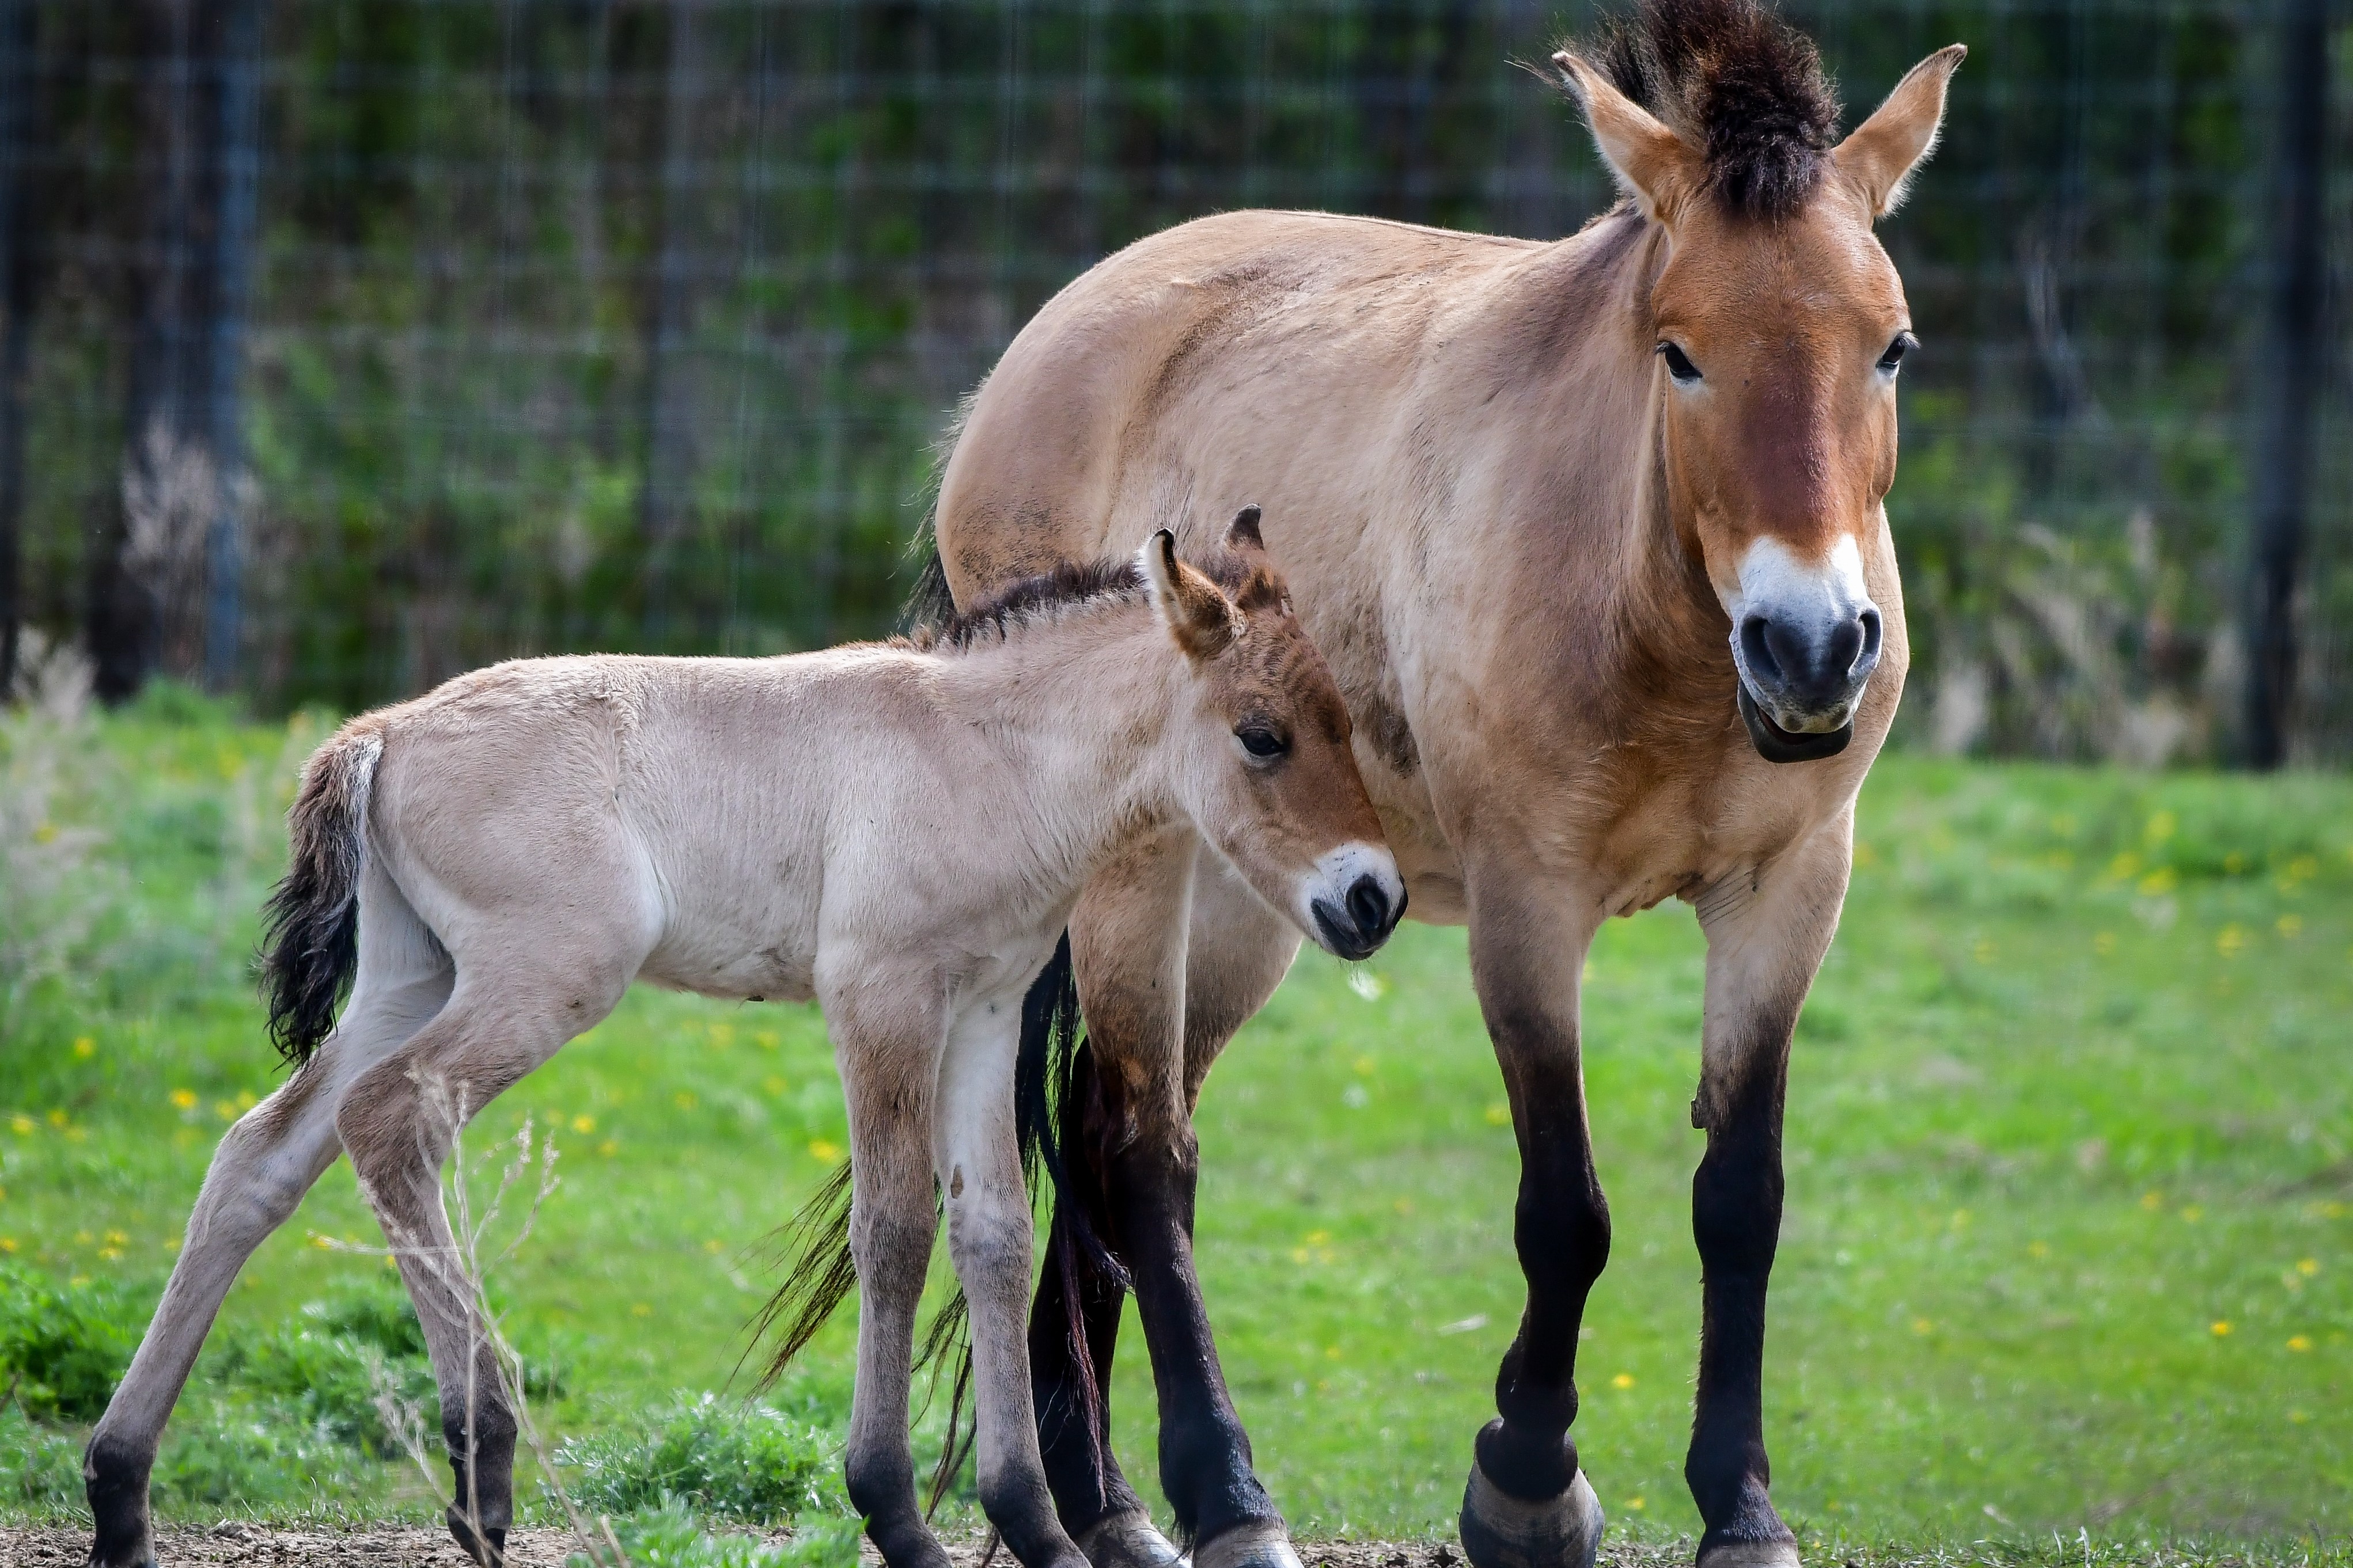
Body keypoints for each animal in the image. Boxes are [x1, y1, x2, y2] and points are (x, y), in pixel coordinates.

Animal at [927, 3, 1957, 1568]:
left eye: (1888, 348)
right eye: (1678, 355)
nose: (1809, 647)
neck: (1649, 621)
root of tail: (1037, 356)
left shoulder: (1787, 895)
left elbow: (1740, 1200)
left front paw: (1740, 1506)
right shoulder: (1527, 908)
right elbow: (1565, 1212)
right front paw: (1524, 1484)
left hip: (1255, 906)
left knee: (1106, 1148)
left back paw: (1104, 1502)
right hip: (1139, 880)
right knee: (1140, 1152)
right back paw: (1221, 1499)